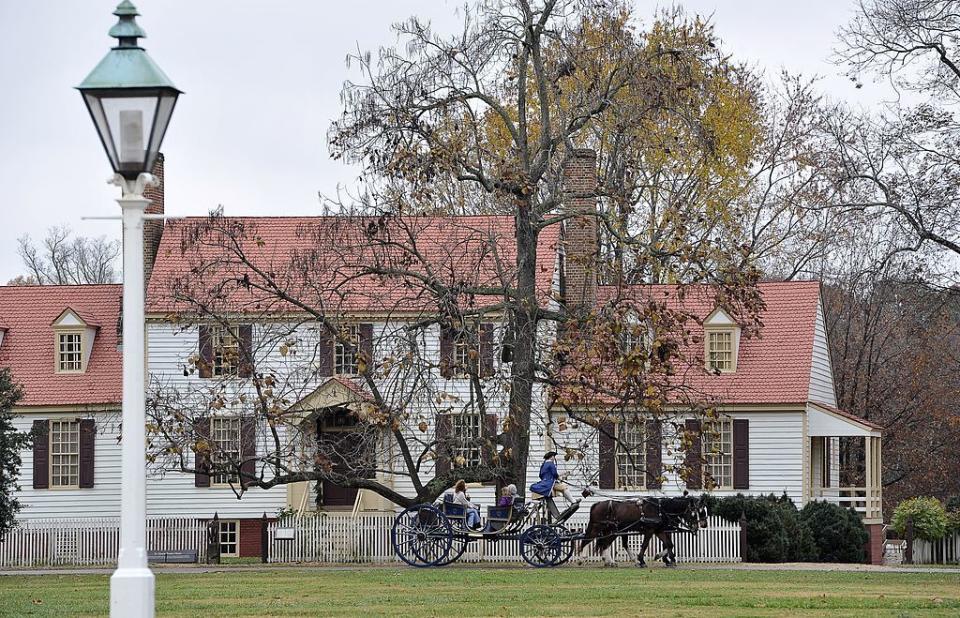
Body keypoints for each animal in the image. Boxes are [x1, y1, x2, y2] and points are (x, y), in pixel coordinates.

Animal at [572, 490, 708, 564]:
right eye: (697, 512)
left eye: (704, 510)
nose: (703, 524)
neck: (661, 509)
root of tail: (597, 503)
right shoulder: (650, 530)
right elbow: (645, 545)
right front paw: (642, 560)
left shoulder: (659, 530)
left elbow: (669, 544)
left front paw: (667, 559)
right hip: (598, 527)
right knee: (587, 540)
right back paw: (581, 559)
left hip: (611, 530)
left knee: (605, 543)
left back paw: (609, 561)